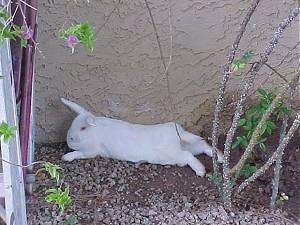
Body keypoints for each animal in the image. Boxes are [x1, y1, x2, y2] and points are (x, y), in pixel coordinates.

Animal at [61, 97, 223, 177]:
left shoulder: (91, 151)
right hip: (190, 145)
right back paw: (220, 158)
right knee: (204, 147)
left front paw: (65, 157)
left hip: (172, 154)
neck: (95, 132)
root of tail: (179, 134)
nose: (69, 139)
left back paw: (201, 171)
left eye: (83, 128)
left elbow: (78, 154)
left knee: (188, 156)